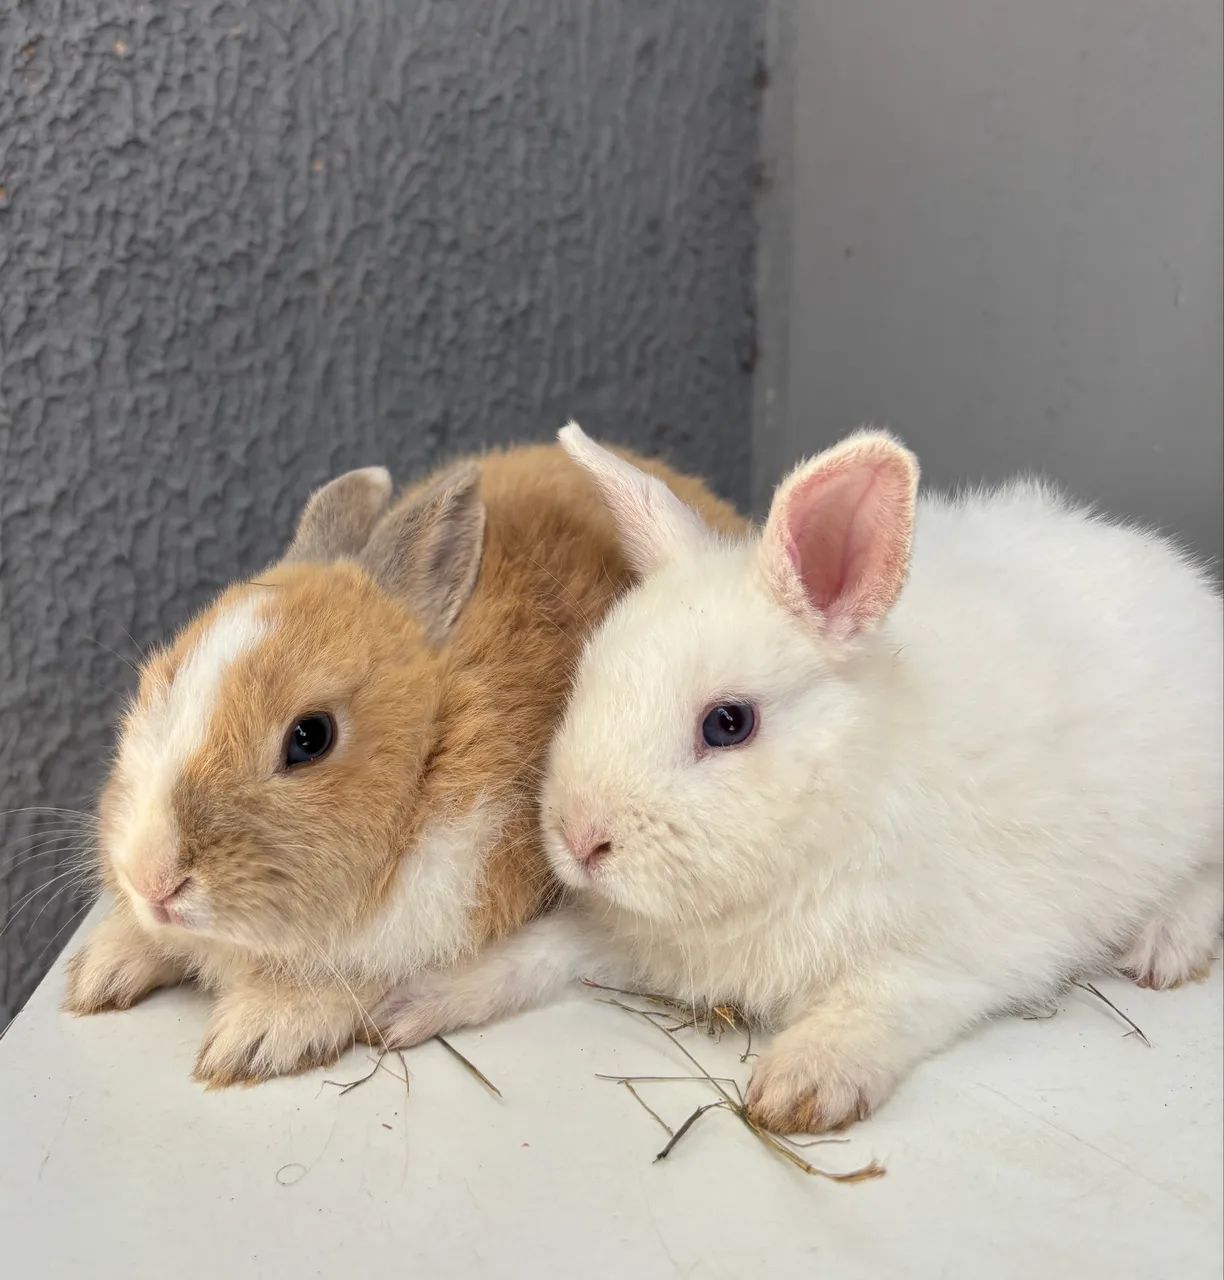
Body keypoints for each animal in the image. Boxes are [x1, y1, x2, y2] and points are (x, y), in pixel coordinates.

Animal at [62, 438, 744, 1086]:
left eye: (310, 737)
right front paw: (98, 973)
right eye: (159, 681)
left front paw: (253, 1038)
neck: (429, 757)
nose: (152, 881)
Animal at [375, 423, 1223, 1134]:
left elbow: (879, 1003)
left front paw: (800, 1086)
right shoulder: (613, 932)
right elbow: (533, 955)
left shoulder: (953, 956)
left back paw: (1163, 949)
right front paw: (411, 1005)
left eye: (728, 723)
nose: (581, 841)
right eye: (584, 678)